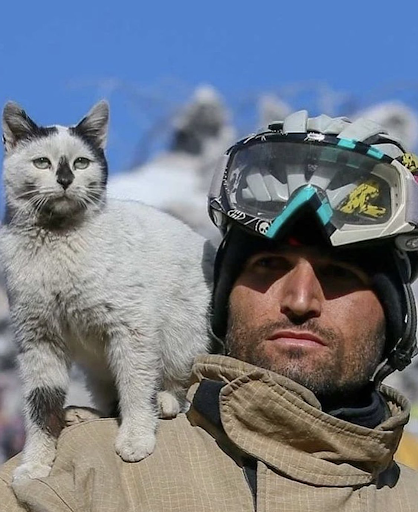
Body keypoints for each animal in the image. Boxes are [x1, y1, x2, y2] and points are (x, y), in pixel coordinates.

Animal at [0, 101, 214, 484]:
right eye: (42, 162)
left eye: (82, 163)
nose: (65, 179)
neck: (56, 240)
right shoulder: (37, 340)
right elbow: (40, 407)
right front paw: (36, 464)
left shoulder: (132, 328)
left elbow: (135, 387)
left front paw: (136, 438)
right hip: (96, 365)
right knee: (107, 401)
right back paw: (80, 413)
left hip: (181, 339)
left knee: (181, 385)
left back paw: (164, 402)